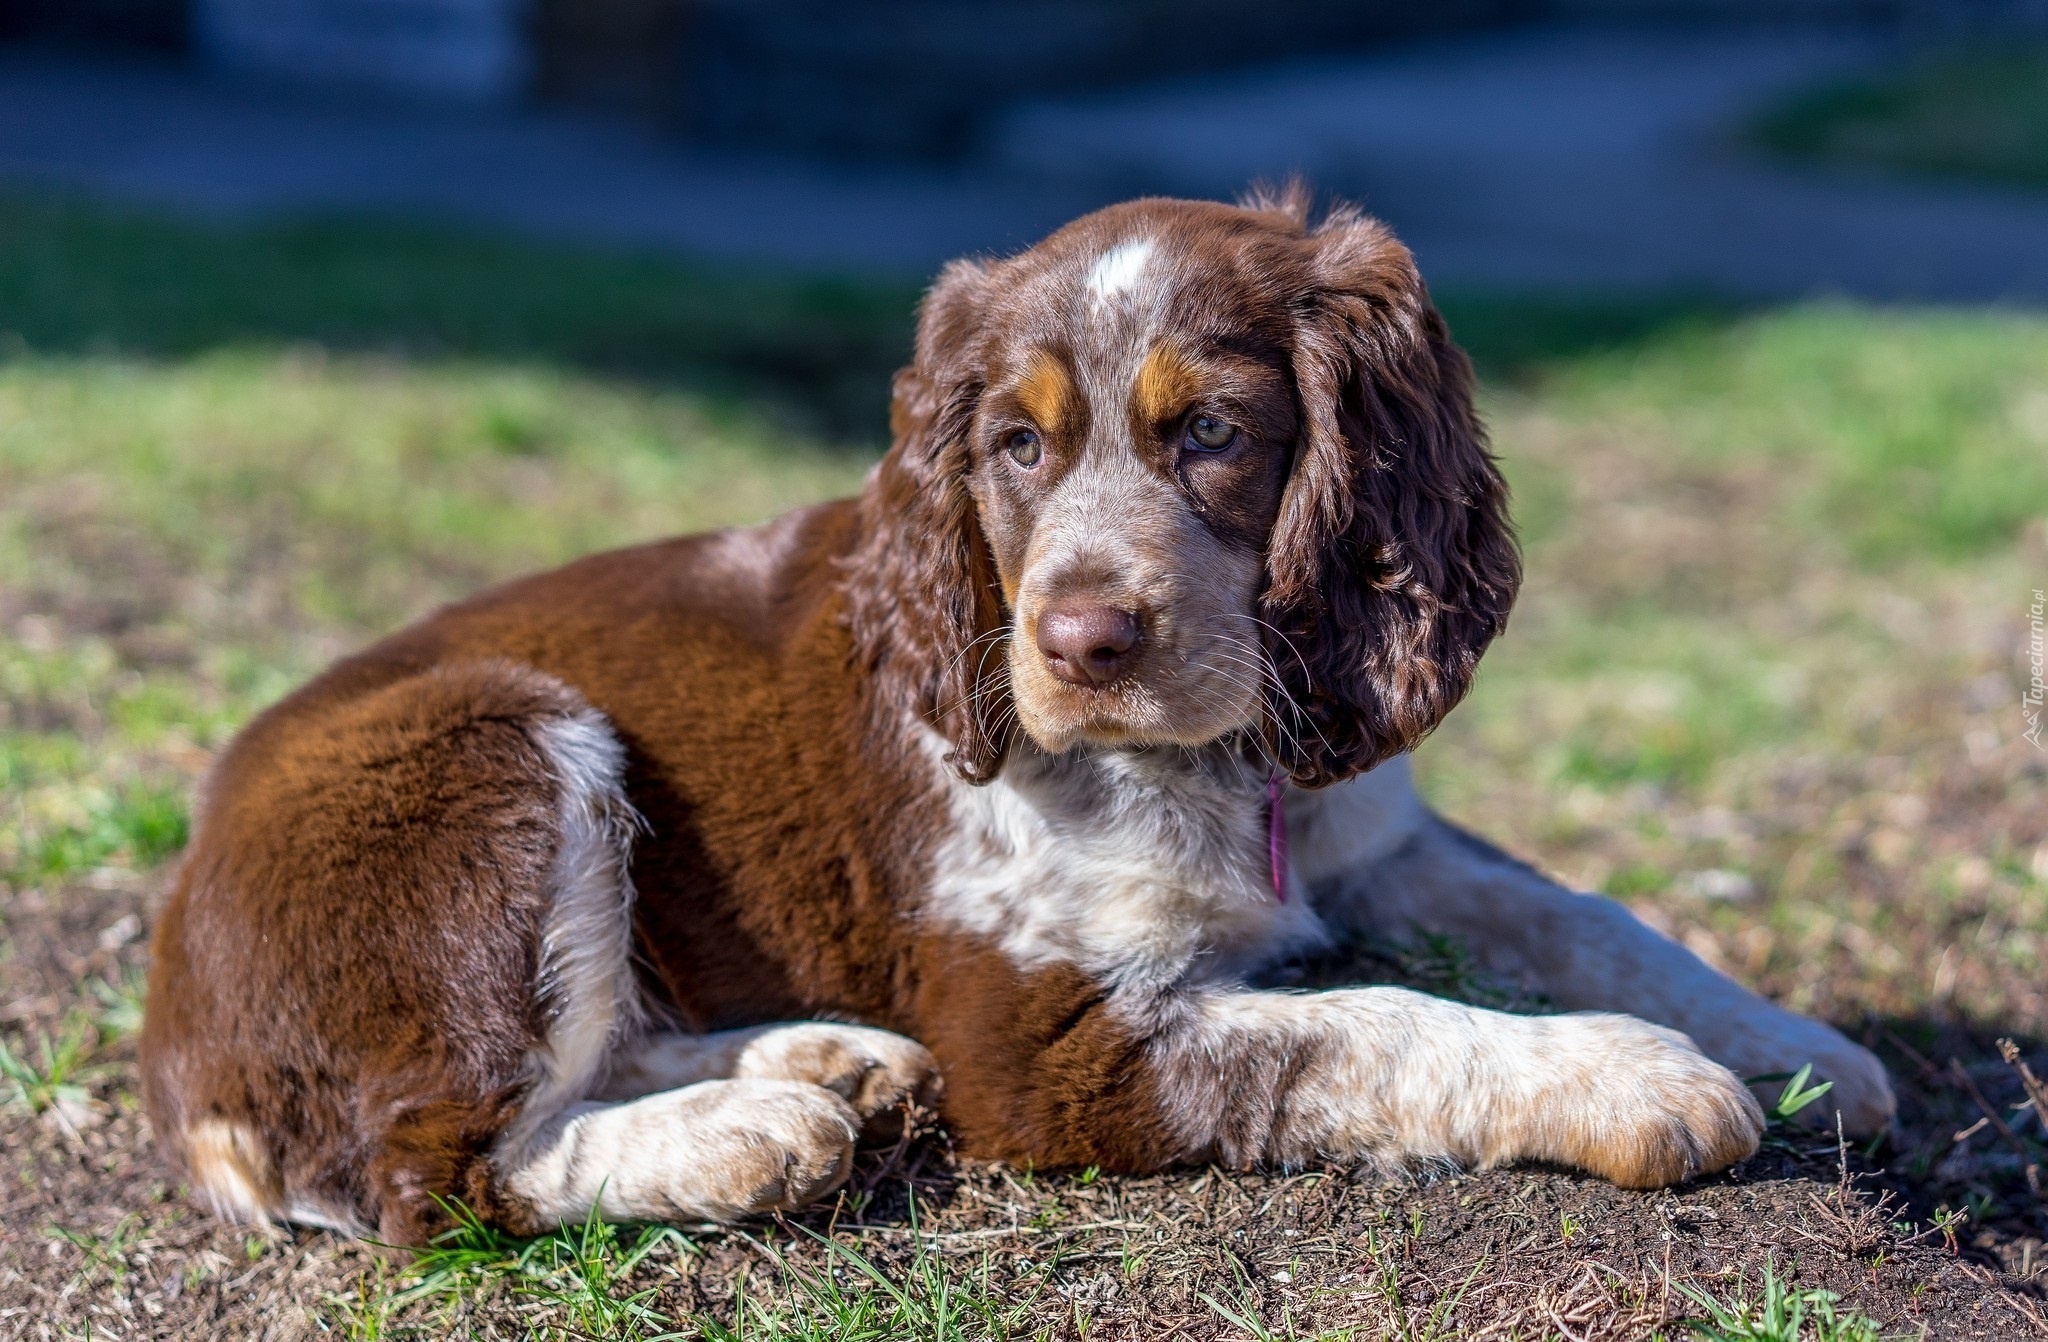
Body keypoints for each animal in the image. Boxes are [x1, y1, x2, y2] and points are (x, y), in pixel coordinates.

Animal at [136, 191, 1892, 1245]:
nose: (1082, 640)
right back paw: (743, 1134)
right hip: (501, 743)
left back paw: (829, 1065)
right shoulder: (1050, 1041)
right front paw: (1640, 1081)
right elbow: (1371, 1023)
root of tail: (174, 1032)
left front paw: (1803, 1043)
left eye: (1216, 434)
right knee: (448, 1164)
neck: (1228, 756)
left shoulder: (1376, 830)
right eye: (1017, 448)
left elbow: (1585, 910)